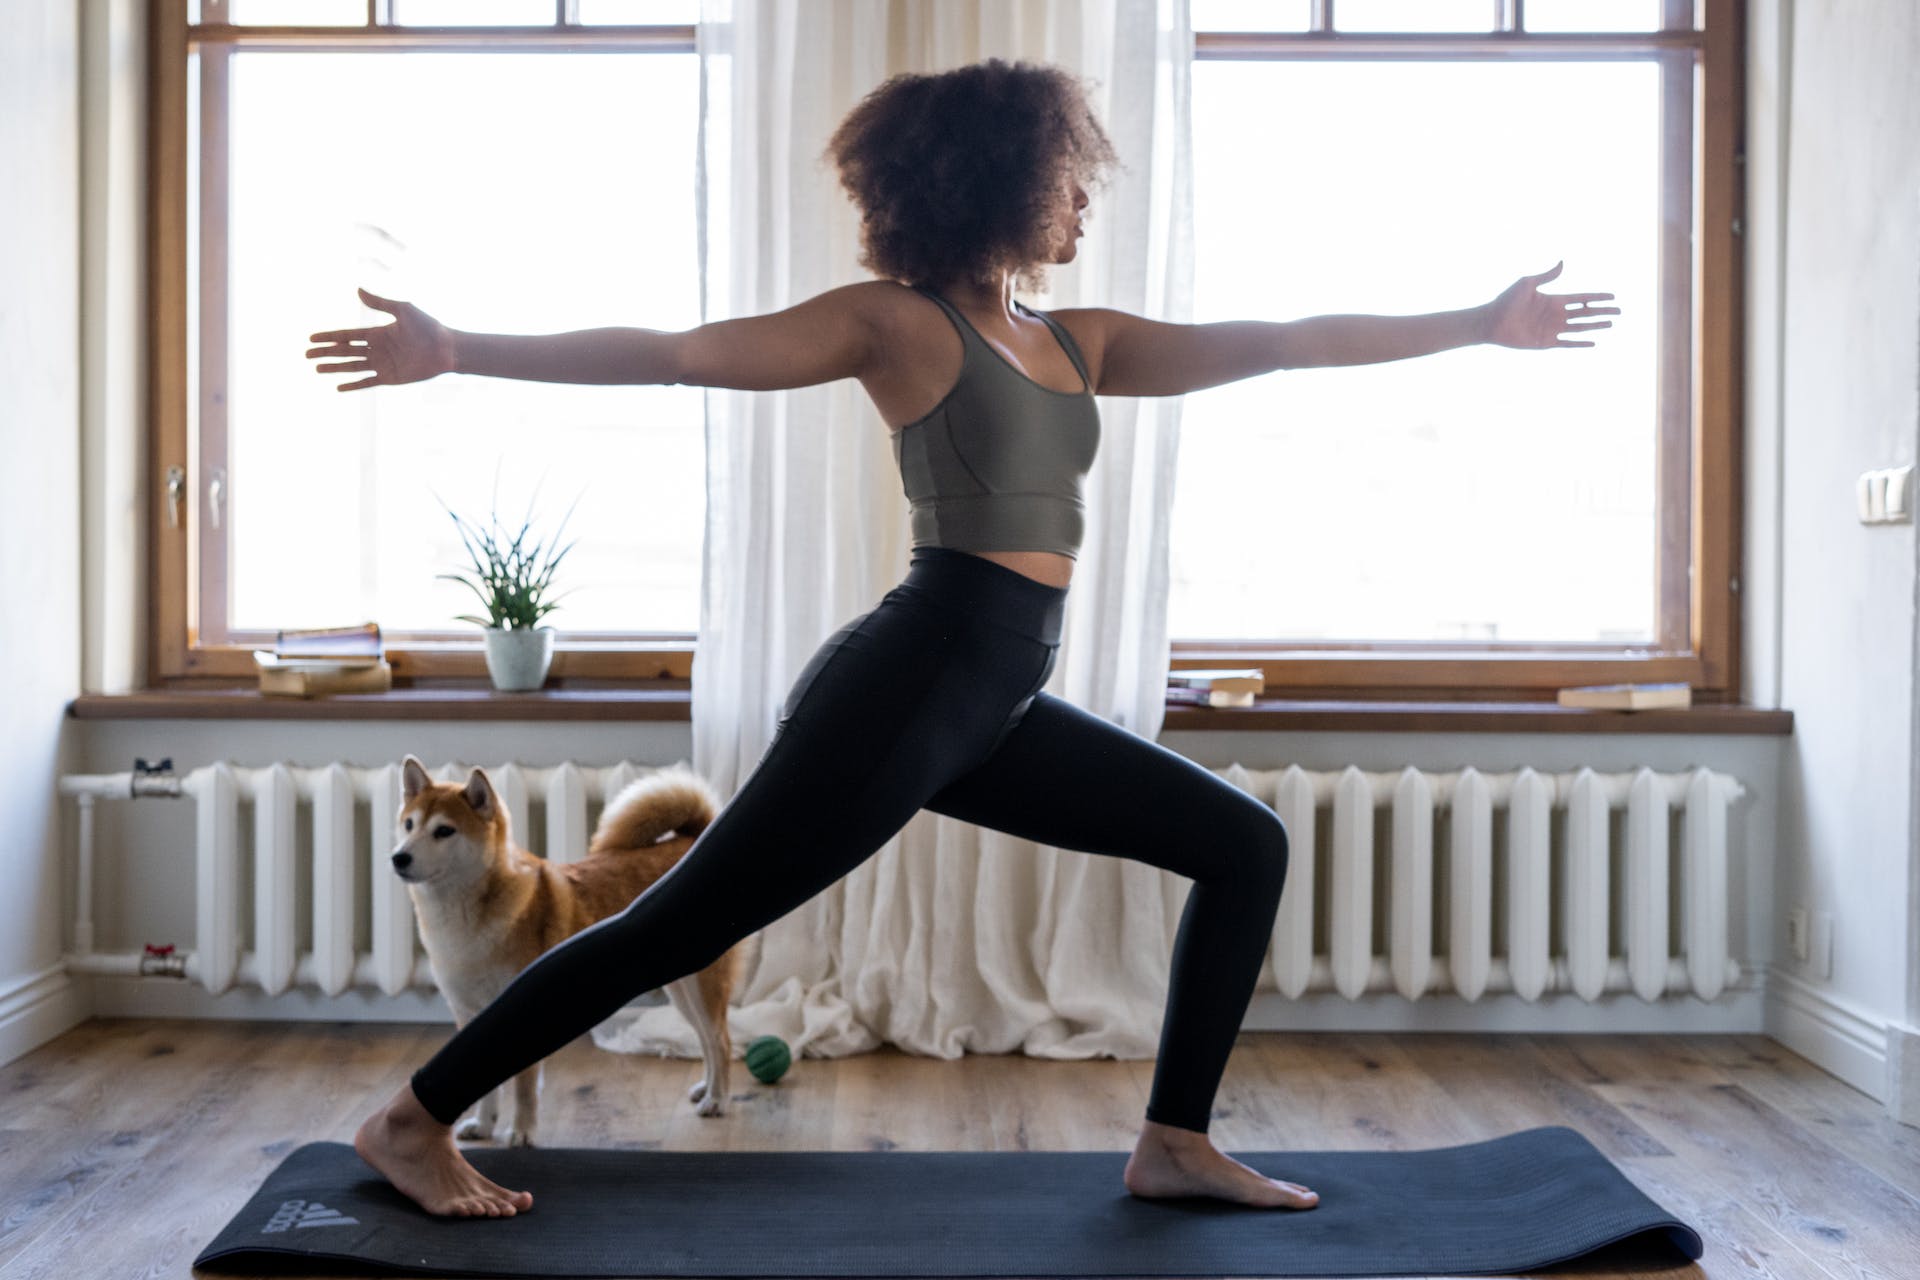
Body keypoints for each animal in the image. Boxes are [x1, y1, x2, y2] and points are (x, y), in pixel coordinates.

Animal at [393, 759, 744, 1151]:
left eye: (444, 831)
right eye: (409, 824)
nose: (399, 857)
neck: (463, 924)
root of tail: (694, 839)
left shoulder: (519, 1009)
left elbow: (524, 1088)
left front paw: (522, 1131)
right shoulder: (469, 1014)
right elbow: (482, 1084)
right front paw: (483, 1126)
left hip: (702, 986)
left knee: (721, 1040)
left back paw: (717, 1100)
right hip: (681, 989)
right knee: (706, 1040)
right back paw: (706, 1089)